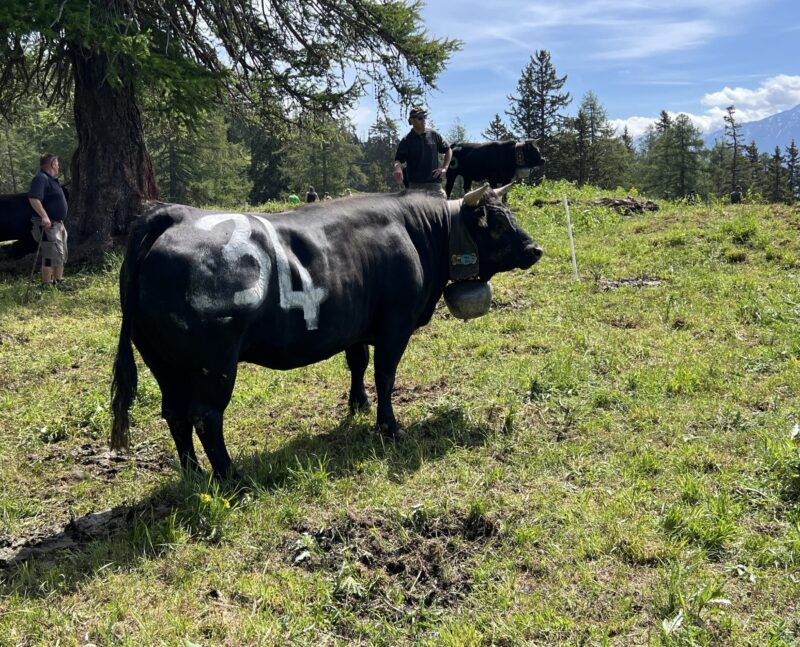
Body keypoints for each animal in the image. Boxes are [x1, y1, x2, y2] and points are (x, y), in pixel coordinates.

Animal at [111, 184, 542, 478]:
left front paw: (357, 405)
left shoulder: (356, 325)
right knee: (204, 416)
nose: (535, 249)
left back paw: (193, 474)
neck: (420, 233)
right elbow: (385, 375)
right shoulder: (395, 324)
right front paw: (388, 426)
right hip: (213, 363)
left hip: (163, 361)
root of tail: (173, 215)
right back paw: (232, 477)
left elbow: (358, 362)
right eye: (497, 223)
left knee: (175, 414)